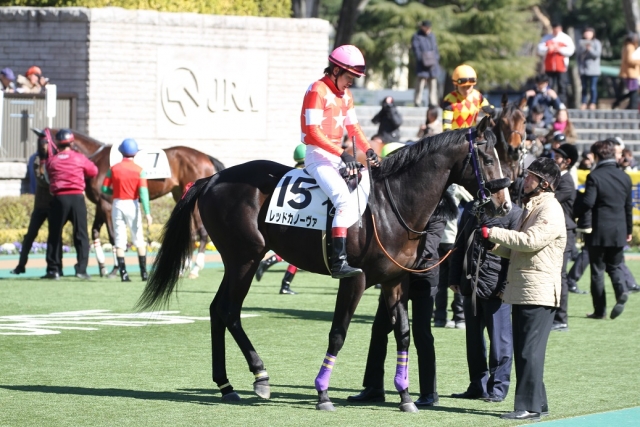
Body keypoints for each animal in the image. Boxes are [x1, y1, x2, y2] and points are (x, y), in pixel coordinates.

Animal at [35, 129, 225, 278]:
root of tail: (205, 157)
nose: (40, 173)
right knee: (191, 233)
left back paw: (195, 269)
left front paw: (115, 269)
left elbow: (113, 236)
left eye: (42, 146)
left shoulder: (107, 204)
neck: (96, 160)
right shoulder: (100, 204)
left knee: (202, 233)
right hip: (180, 195)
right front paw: (102, 267)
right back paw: (182, 269)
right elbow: (95, 232)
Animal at [137, 116, 512, 412]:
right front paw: (322, 393)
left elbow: (403, 334)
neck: (391, 206)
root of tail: (212, 179)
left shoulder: (394, 280)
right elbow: (338, 333)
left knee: (217, 310)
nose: (504, 204)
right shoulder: (354, 280)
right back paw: (259, 376)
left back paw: (228, 385)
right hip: (244, 258)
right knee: (229, 311)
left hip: (237, 261)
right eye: (487, 157)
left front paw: (405, 395)